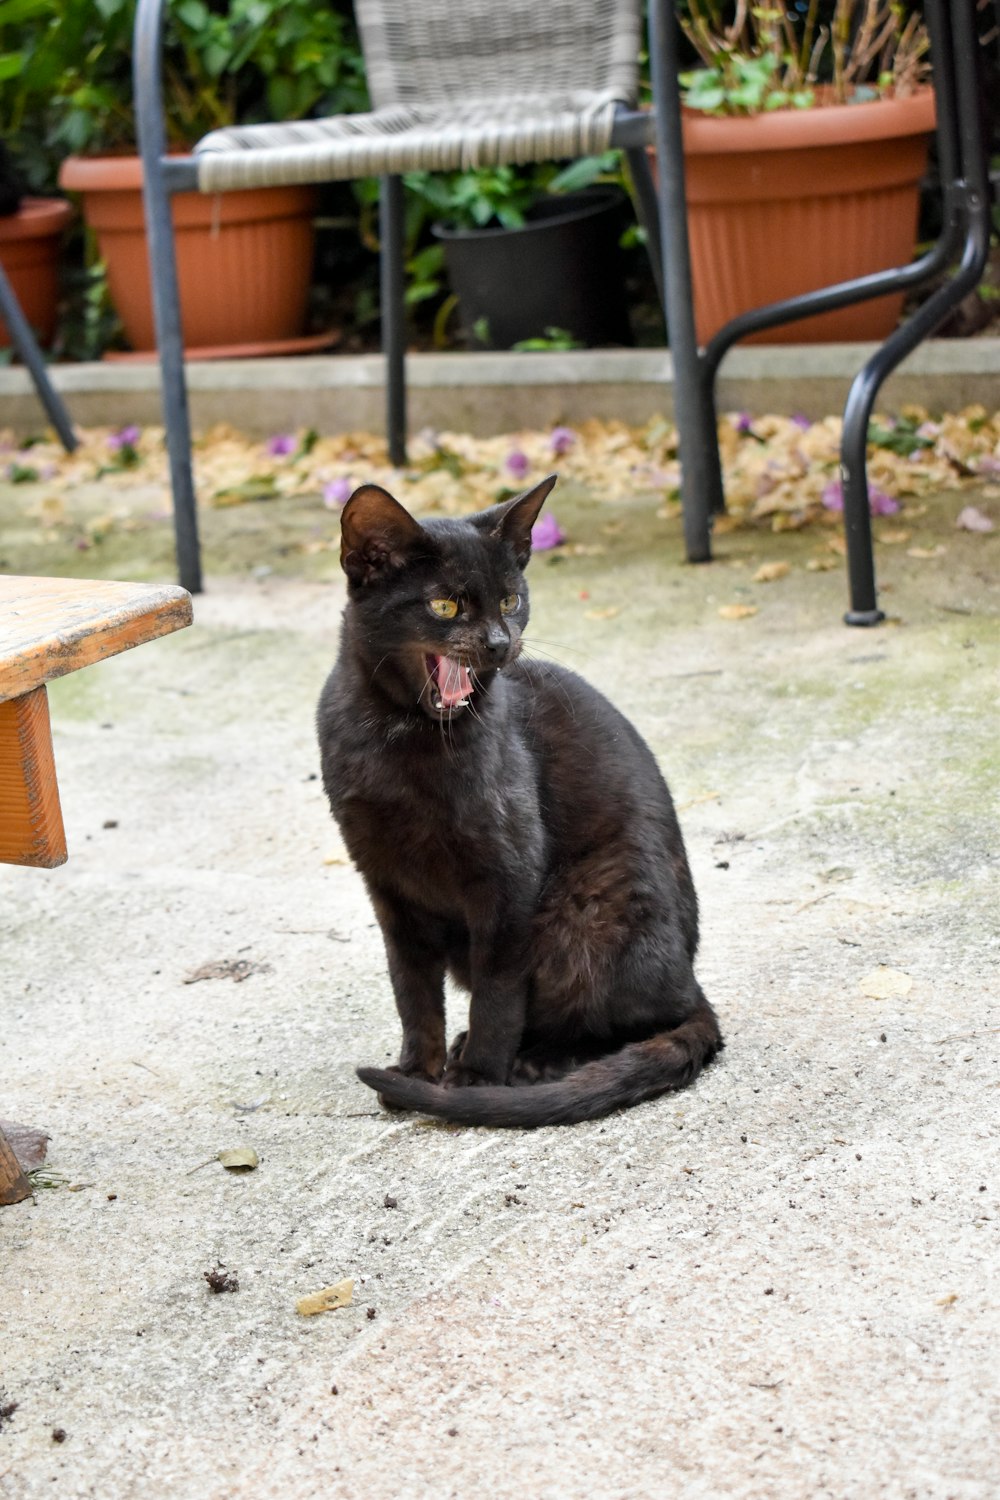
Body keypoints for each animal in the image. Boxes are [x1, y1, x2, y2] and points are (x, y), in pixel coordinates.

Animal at [319, 480, 719, 1128]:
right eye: (445, 607)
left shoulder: (507, 879)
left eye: (510, 600)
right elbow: (411, 989)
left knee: (632, 1020)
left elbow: (498, 990)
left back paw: (536, 1061)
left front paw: (477, 1078)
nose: (501, 644)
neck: (403, 739)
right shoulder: (387, 884)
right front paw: (416, 1071)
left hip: (585, 906)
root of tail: (693, 979)